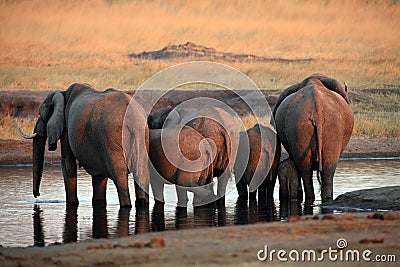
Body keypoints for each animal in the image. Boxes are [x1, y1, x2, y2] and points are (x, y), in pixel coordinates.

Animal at [18, 82, 150, 208]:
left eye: (41, 113)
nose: (37, 195)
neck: (63, 93)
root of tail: (133, 119)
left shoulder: (67, 129)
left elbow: (68, 165)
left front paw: (72, 204)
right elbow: (99, 175)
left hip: (111, 137)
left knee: (119, 175)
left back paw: (126, 205)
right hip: (142, 136)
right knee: (142, 173)